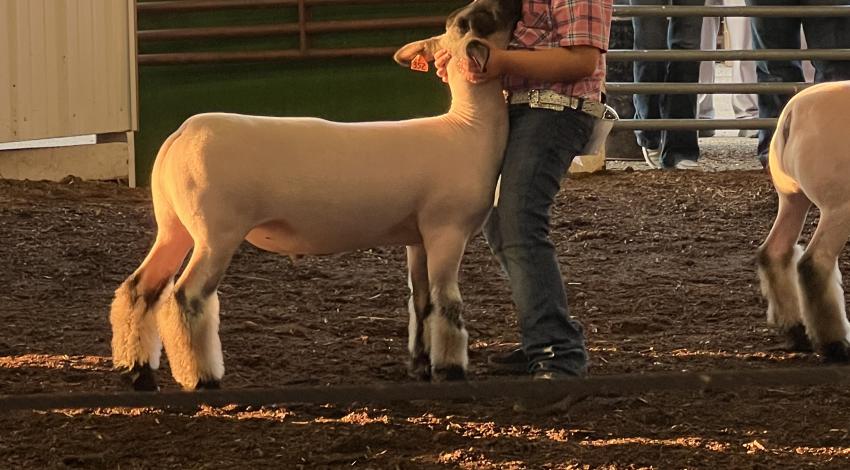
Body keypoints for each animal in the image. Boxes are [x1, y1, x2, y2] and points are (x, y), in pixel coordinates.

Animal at [109, 0, 523, 391]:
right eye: (478, 20)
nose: (515, 5)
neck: (468, 128)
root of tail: (181, 134)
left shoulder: (417, 236)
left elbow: (422, 303)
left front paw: (420, 367)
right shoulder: (446, 229)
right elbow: (448, 304)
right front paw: (451, 372)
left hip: (174, 225)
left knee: (139, 289)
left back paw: (137, 372)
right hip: (216, 233)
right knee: (187, 297)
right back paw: (202, 378)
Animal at [757, 80, 850, 362]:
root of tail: (793, 113)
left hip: (791, 198)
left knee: (774, 252)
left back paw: (795, 331)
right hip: (838, 207)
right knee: (814, 264)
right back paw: (834, 345)